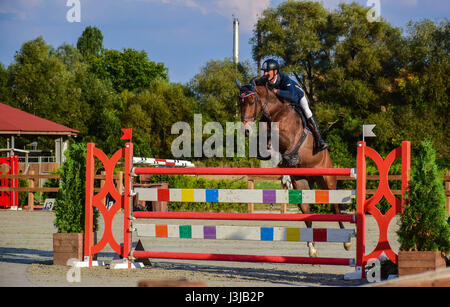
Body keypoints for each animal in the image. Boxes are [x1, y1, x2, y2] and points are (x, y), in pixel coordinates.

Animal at [234, 77, 354, 258]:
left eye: (252, 101)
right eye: (240, 102)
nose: (246, 130)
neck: (275, 111)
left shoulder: (288, 135)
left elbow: (272, 134)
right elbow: (263, 138)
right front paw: (269, 154)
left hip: (327, 180)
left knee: (335, 207)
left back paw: (346, 242)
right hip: (301, 182)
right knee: (306, 211)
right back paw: (312, 248)